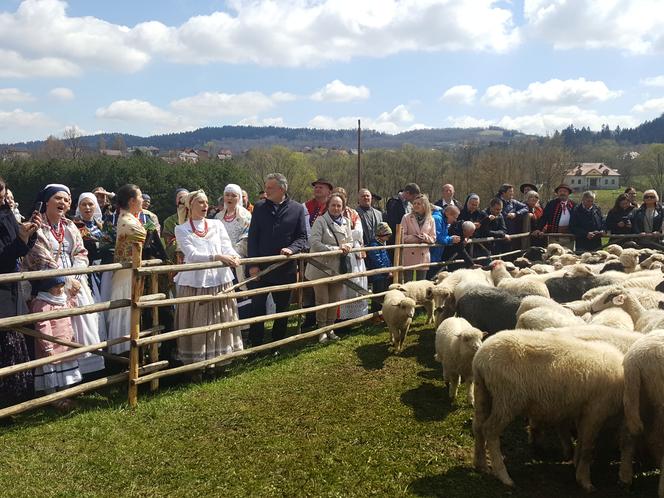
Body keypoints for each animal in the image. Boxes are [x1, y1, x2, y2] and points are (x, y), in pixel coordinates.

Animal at [472, 330, 628, 490]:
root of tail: (481, 357)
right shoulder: (596, 411)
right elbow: (587, 447)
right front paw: (585, 481)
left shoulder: (583, 412)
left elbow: (581, 441)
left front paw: (575, 463)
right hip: (507, 399)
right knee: (490, 430)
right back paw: (504, 476)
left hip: (483, 392)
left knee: (478, 427)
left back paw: (480, 464)